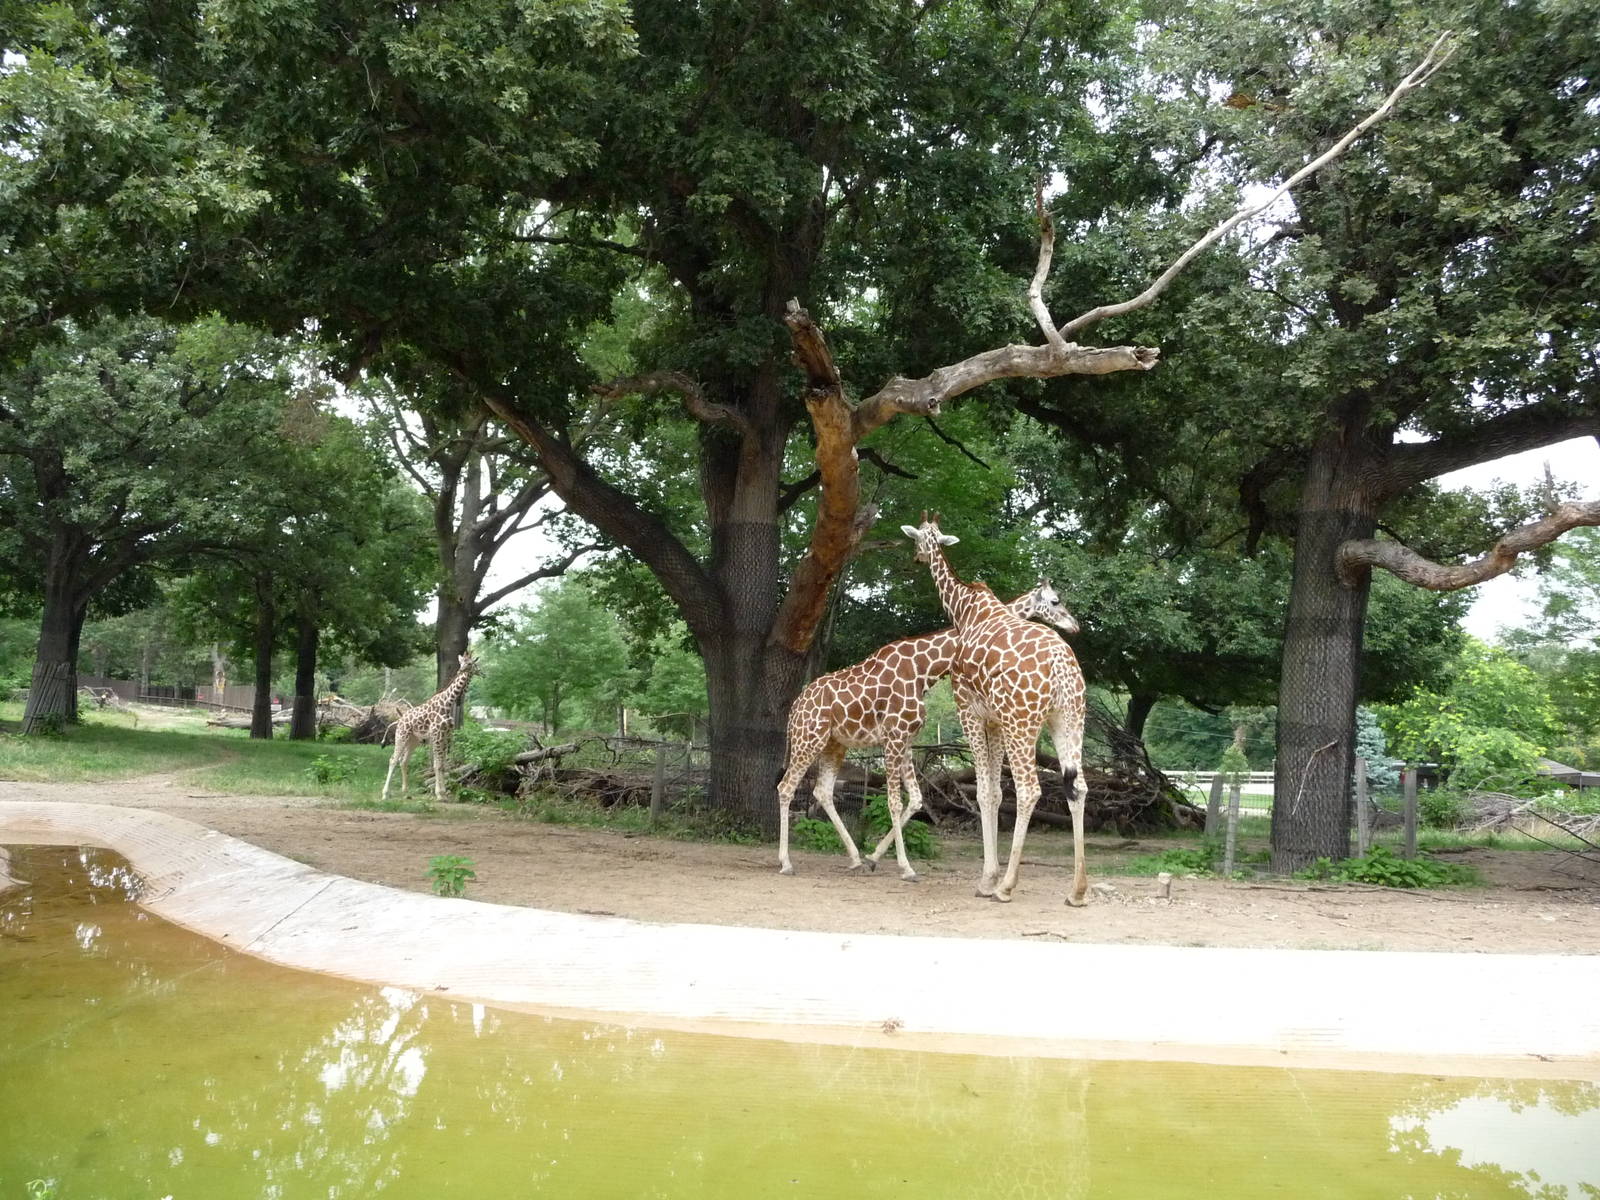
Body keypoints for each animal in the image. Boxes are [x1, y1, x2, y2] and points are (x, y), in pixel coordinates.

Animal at [381, 652, 482, 805]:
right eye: (462, 663)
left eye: (470, 663)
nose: (460, 671)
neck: (448, 703)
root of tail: (400, 718)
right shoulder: (437, 735)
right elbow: (437, 764)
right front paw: (439, 794)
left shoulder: (447, 736)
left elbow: (443, 765)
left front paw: (443, 793)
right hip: (402, 736)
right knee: (393, 759)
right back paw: (385, 794)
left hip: (413, 741)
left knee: (403, 760)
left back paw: (405, 790)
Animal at [776, 582, 1078, 882]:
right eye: (1055, 601)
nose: (1073, 625)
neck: (924, 669)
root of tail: (794, 709)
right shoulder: (894, 736)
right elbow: (894, 802)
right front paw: (905, 867)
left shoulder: (906, 740)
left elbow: (916, 800)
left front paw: (874, 857)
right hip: (807, 740)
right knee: (786, 787)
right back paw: (786, 862)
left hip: (834, 744)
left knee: (823, 791)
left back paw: (854, 858)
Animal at [902, 514, 1089, 905]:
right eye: (1056, 600)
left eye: (918, 539)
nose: (917, 557)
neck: (964, 610)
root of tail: (1062, 666)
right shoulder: (996, 721)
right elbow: (997, 792)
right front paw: (990, 875)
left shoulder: (970, 711)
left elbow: (986, 791)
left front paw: (988, 879)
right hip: (1069, 719)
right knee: (1077, 786)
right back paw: (1077, 890)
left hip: (1023, 722)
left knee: (1030, 789)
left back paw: (1007, 886)